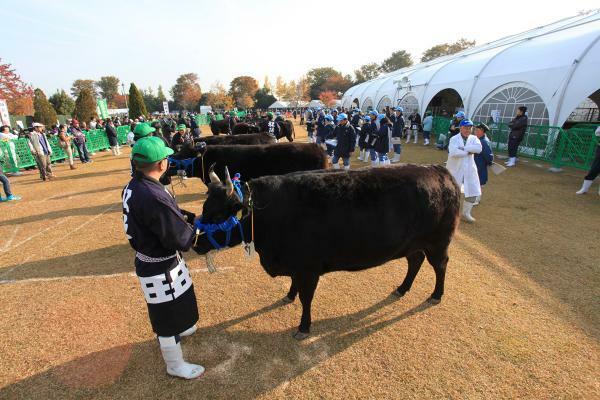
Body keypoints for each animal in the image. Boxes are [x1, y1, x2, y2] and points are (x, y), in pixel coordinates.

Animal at [192, 164, 460, 340]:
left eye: (218, 214)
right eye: (204, 207)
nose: (195, 244)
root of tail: (440, 171)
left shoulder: (308, 269)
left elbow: (306, 298)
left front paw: (303, 327)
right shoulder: (296, 266)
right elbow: (295, 287)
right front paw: (288, 296)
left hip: (438, 242)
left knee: (440, 265)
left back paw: (436, 294)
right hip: (412, 243)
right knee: (415, 260)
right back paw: (402, 289)